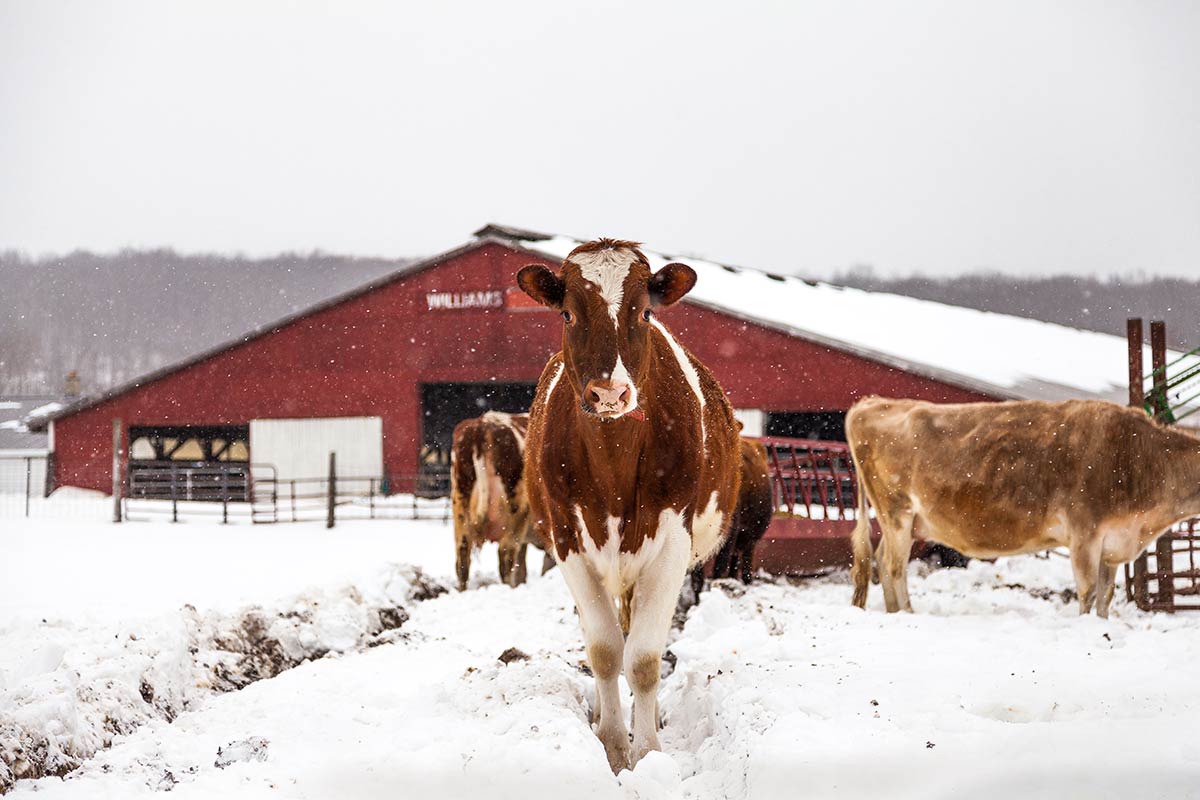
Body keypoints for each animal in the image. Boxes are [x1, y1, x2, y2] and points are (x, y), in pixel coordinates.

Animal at [517, 239, 742, 772]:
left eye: (643, 312)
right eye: (568, 313)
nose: (609, 393)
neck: (612, 461)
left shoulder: (671, 545)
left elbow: (642, 658)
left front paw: (647, 751)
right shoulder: (568, 542)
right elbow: (604, 650)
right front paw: (613, 745)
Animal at [846, 396, 1200, 618]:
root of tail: (871, 403)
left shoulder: (1113, 542)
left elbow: (1106, 596)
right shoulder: (1084, 533)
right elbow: (1088, 592)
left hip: (900, 521)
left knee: (882, 559)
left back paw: (894, 613)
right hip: (897, 513)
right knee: (893, 566)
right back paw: (908, 614)